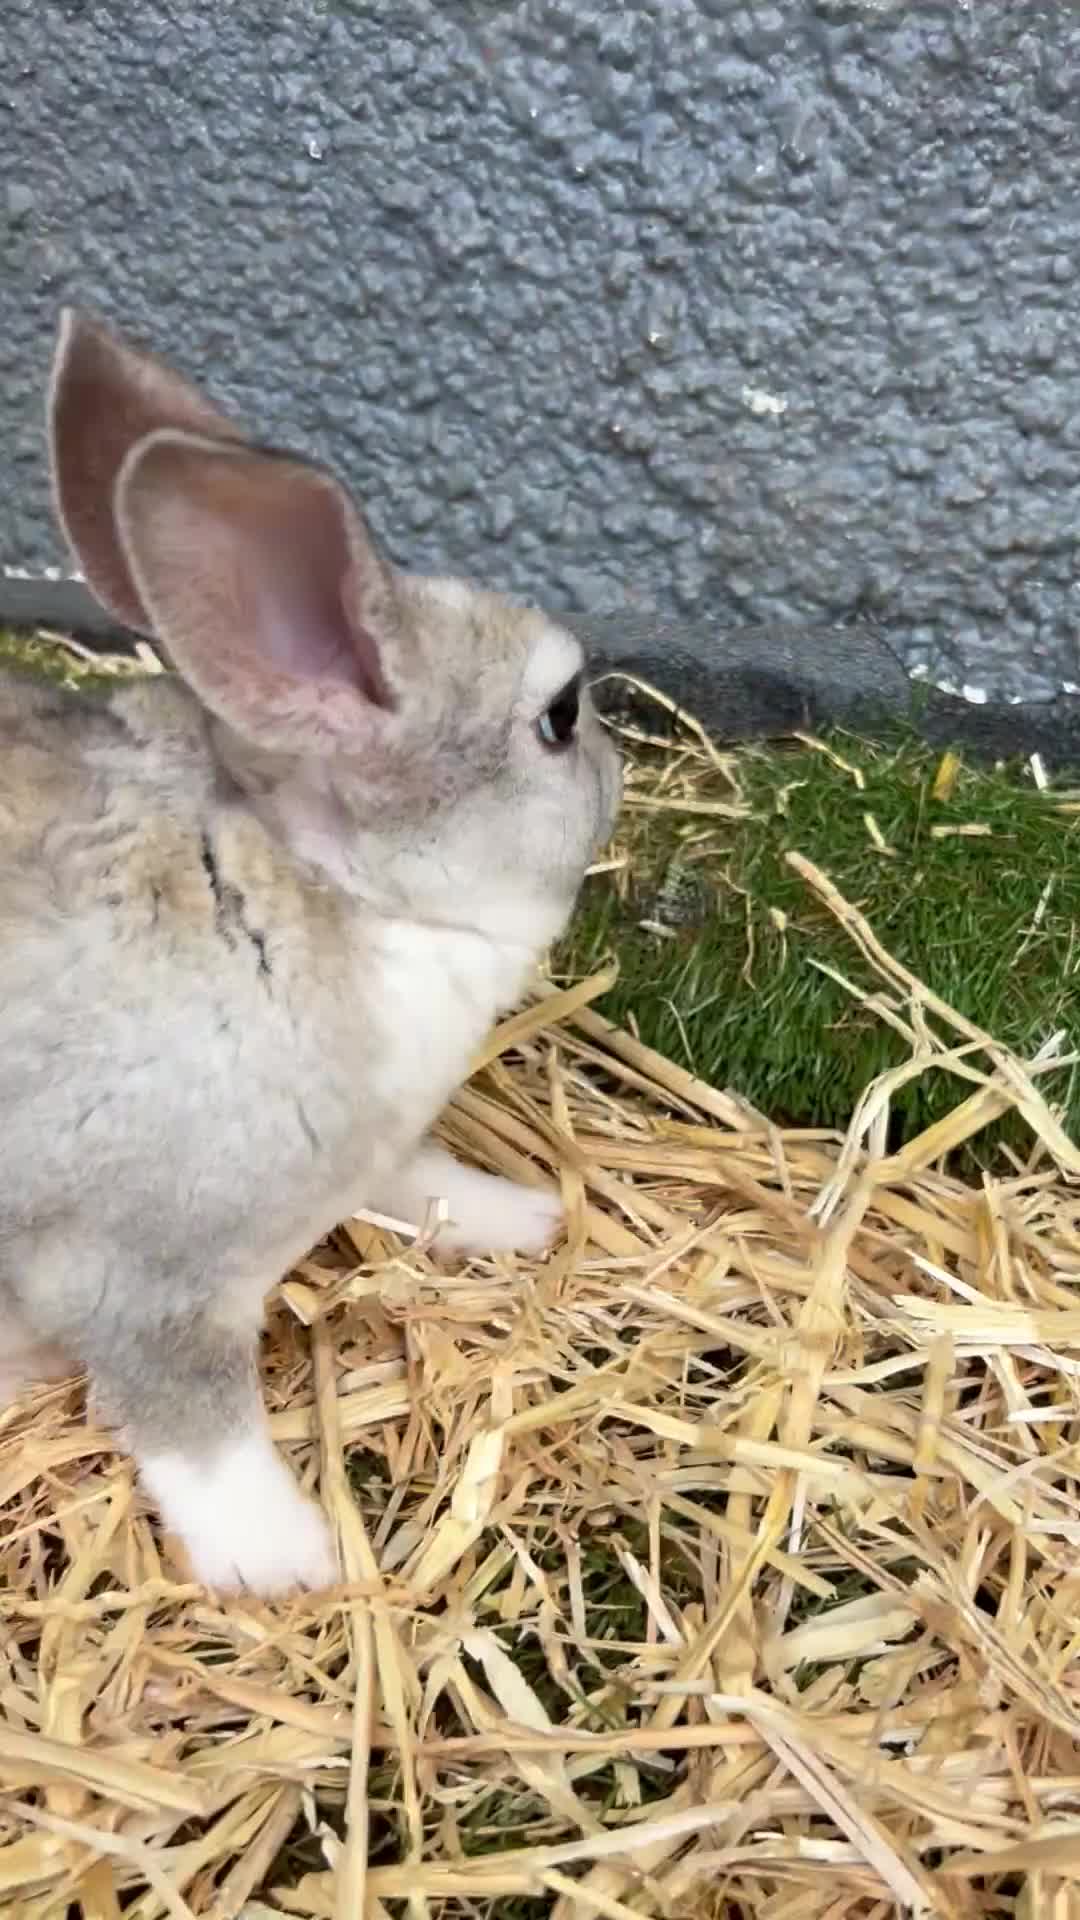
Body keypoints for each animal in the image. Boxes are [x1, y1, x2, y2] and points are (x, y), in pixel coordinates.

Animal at [0, 309, 621, 1596]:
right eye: (560, 715)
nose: (621, 775)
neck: (324, 900)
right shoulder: (142, 1279)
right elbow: (197, 1428)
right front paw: (290, 1564)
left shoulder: (371, 1149)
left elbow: (420, 1183)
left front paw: (519, 1219)